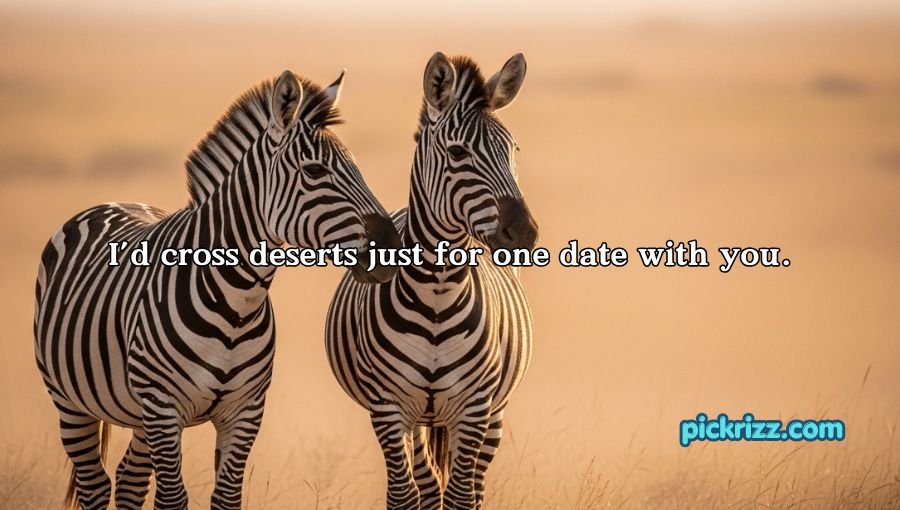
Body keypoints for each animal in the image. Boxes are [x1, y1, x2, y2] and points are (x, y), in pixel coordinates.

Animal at [34, 68, 401, 510]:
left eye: (357, 167)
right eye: (314, 172)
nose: (393, 245)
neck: (236, 303)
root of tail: (113, 201)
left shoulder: (244, 411)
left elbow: (226, 497)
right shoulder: (164, 407)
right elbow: (172, 499)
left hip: (137, 415)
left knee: (128, 481)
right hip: (68, 400)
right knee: (94, 484)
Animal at [326, 52, 537, 509]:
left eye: (513, 149)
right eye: (457, 152)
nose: (525, 234)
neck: (438, 294)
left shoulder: (475, 407)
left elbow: (460, 497)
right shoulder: (388, 407)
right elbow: (405, 496)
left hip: (494, 410)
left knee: (470, 486)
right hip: (419, 417)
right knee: (425, 486)